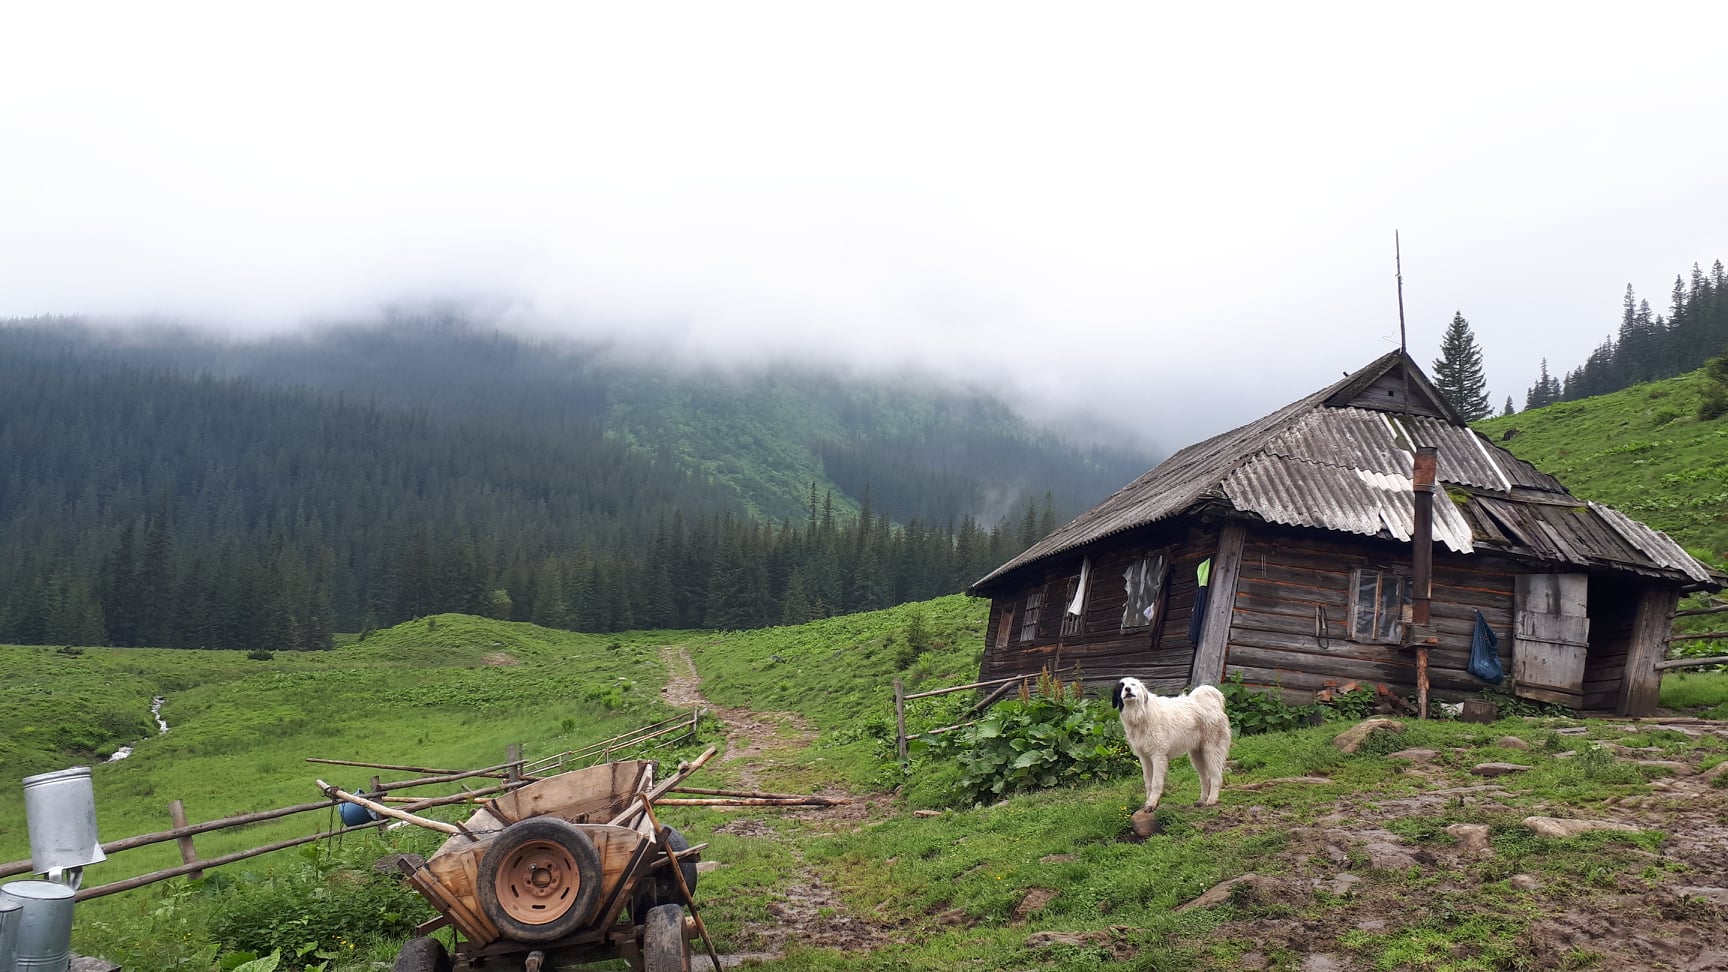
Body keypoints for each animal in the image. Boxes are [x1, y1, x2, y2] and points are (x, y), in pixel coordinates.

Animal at [1112, 674, 1237, 809]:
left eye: (1133, 684)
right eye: (1121, 687)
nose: (1128, 689)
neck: (1140, 714)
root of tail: (1212, 704)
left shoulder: (1158, 755)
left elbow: (1156, 782)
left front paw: (1152, 802)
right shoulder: (1144, 757)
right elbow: (1148, 782)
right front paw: (1149, 802)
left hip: (1212, 751)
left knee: (1215, 777)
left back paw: (1212, 800)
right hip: (1197, 756)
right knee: (1205, 778)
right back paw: (1202, 800)